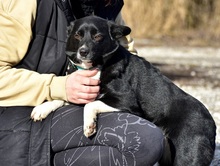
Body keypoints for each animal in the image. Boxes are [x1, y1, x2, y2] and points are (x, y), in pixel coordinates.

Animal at [33, 15, 216, 166]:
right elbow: (63, 97)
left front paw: (89, 125)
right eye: (77, 35)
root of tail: (211, 123)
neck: (98, 66)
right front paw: (42, 108)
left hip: (187, 155)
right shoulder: (80, 91)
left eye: (98, 36)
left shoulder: (126, 102)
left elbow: (91, 104)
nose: (83, 52)